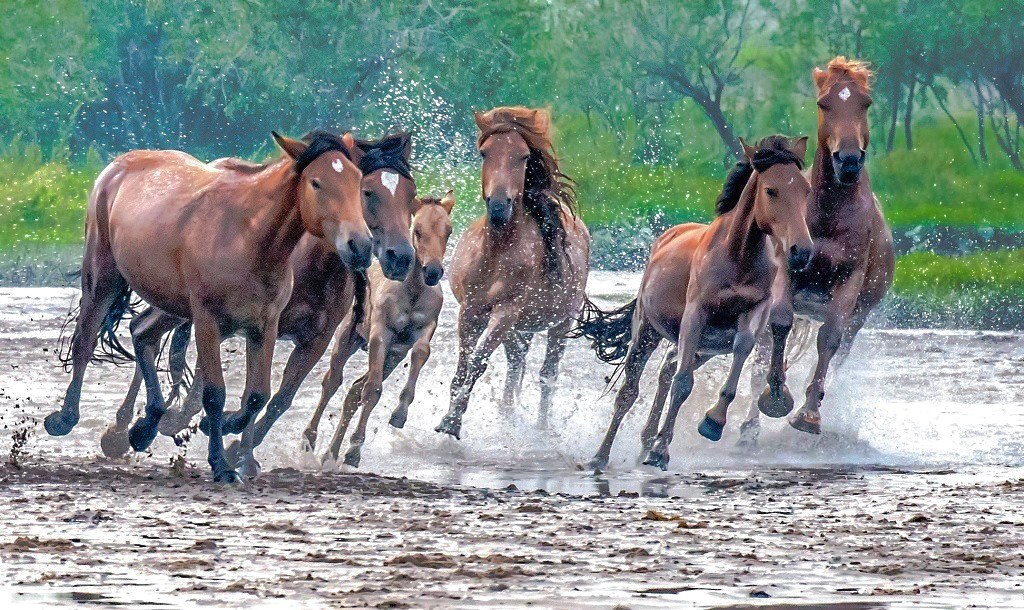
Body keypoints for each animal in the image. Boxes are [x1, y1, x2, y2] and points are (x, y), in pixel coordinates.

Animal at [45, 129, 372, 481]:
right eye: (316, 182)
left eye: (357, 180)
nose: (361, 245)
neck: (248, 236)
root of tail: (118, 165)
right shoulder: (207, 321)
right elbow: (214, 393)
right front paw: (221, 464)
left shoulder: (264, 326)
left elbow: (257, 396)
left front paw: (230, 442)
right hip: (103, 275)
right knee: (86, 339)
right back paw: (65, 419)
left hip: (170, 302)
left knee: (141, 332)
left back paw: (144, 428)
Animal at [303, 191, 456, 466]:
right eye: (418, 230)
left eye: (448, 231)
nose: (432, 271)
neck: (413, 291)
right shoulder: (380, 335)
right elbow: (372, 391)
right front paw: (353, 452)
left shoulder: (418, 334)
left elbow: (421, 352)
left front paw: (399, 415)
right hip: (347, 339)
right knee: (333, 382)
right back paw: (311, 440)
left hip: (392, 358)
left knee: (353, 392)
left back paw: (331, 454)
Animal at [434, 107, 593, 440]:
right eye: (484, 153)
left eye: (523, 156)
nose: (498, 206)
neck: (497, 252)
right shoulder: (471, 310)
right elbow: (463, 366)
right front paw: (451, 415)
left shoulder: (505, 312)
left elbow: (478, 362)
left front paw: (453, 421)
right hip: (520, 327)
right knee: (516, 361)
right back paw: (507, 415)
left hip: (559, 323)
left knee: (547, 374)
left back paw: (541, 427)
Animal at [581, 137, 811, 470]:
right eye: (771, 190)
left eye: (806, 189)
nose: (801, 251)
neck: (738, 255)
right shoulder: (696, 315)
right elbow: (682, 385)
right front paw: (662, 451)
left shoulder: (754, 311)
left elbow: (741, 347)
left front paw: (712, 422)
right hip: (647, 332)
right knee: (630, 392)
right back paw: (601, 457)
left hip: (705, 347)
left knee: (668, 368)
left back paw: (648, 442)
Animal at [737, 58, 897, 444]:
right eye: (824, 103)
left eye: (865, 103)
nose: (849, 161)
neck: (830, 213)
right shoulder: (787, 269)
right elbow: (780, 324)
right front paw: (776, 398)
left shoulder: (849, 281)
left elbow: (829, 339)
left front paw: (809, 415)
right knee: (761, 355)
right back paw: (749, 426)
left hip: (858, 317)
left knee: (837, 353)